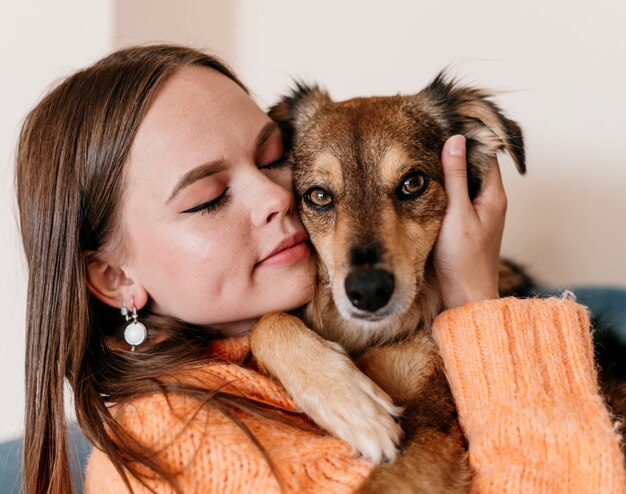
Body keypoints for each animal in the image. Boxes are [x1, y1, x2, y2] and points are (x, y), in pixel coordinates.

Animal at [251, 74, 528, 494]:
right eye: (318, 196)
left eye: (413, 183)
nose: (368, 292)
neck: (371, 338)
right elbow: (266, 321)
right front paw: (353, 404)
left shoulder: (434, 427)